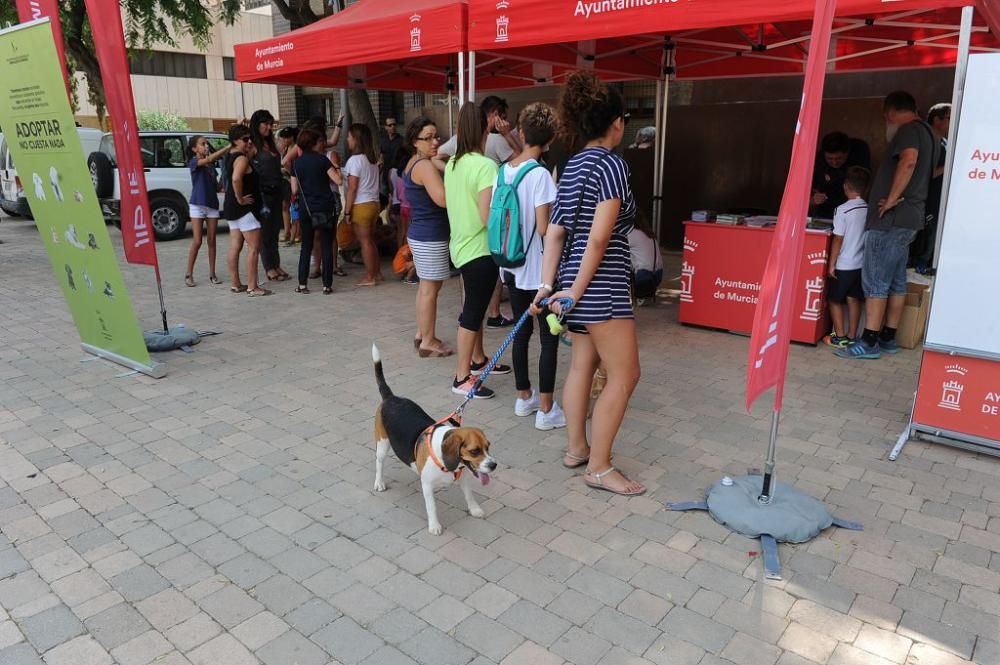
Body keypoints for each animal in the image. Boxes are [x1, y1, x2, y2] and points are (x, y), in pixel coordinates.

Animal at [372, 344, 496, 532]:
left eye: (488, 447)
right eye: (474, 451)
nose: (494, 465)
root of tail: (391, 398)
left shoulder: (464, 477)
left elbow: (469, 495)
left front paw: (475, 509)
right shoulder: (428, 486)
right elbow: (432, 507)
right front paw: (434, 526)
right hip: (382, 443)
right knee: (379, 463)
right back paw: (379, 482)